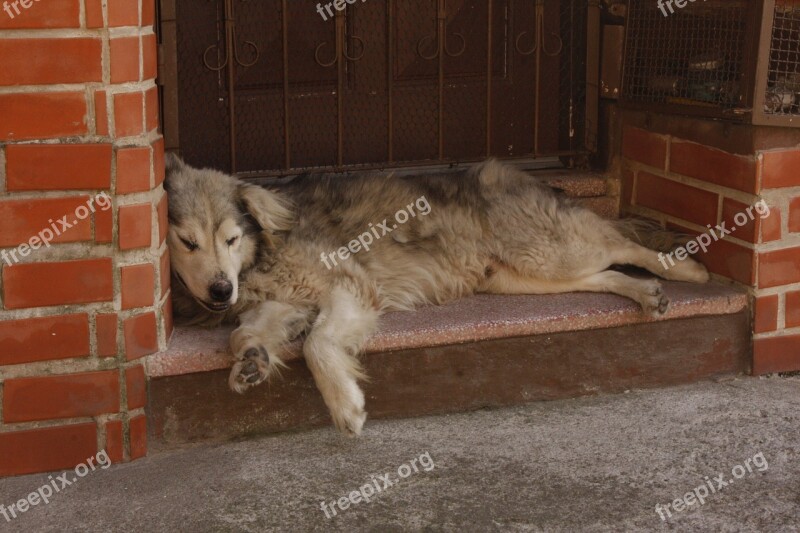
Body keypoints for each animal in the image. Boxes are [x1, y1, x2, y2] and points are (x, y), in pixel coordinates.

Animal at [166, 155, 708, 436]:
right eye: (187, 242)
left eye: (230, 238)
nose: (221, 289)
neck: (261, 255)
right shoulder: (285, 302)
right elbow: (243, 335)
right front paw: (252, 360)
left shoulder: (349, 286)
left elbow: (318, 344)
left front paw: (346, 406)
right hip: (522, 275)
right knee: (605, 274)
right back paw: (647, 294)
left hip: (550, 250)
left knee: (623, 242)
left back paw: (687, 267)